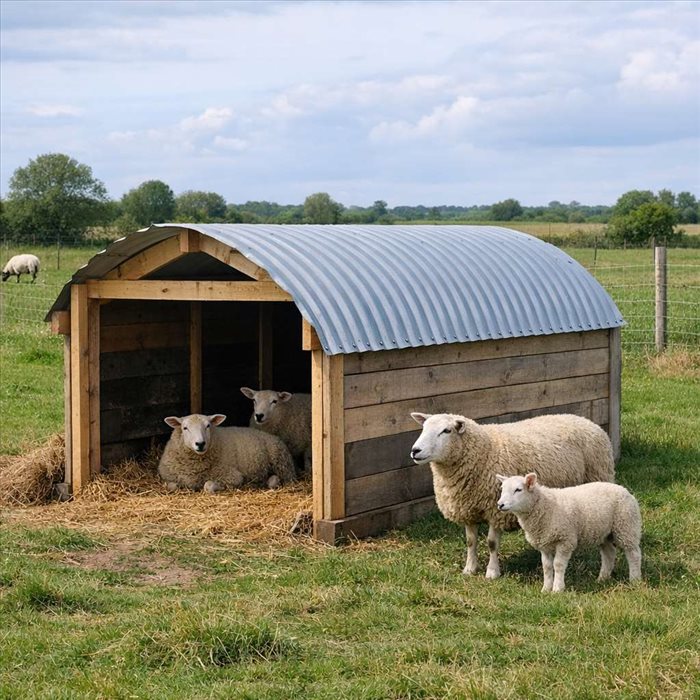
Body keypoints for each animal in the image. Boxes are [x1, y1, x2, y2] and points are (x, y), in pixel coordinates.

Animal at [157, 413, 296, 493]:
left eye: (208, 426)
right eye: (185, 428)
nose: (200, 444)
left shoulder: (232, 476)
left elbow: (208, 486)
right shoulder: (170, 478)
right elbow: (171, 486)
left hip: (282, 463)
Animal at [410, 412, 615, 579]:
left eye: (446, 430)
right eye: (423, 428)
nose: (415, 451)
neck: (483, 452)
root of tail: (587, 421)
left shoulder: (496, 510)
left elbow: (492, 543)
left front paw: (492, 572)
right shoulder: (467, 508)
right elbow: (470, 541)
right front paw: (469, 568)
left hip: (598, 479)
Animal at [497, 473, 642, 592]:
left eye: (518, 490)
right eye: (502, 489)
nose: (500, 504)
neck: (543, 505)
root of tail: (624, 490)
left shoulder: (565, 540)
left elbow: (558, 565)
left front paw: (557, 589)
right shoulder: (545, 544)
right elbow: (547, 567)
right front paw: (545, 589)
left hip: (626, 526)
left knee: (633, 554)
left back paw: (635, 580)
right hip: (604, 533)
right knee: (609, 554)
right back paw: (602, 578)